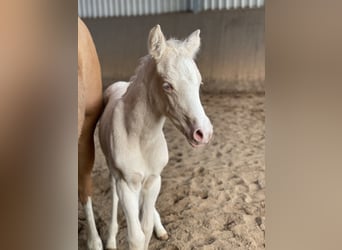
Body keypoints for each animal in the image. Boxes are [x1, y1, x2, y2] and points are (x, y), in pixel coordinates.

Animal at [97, 23, 214, 250]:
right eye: (167, 85)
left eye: (199, 83)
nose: (203, 133)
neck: (140, 138)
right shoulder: (126, 183)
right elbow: (136, 236)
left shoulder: (153, 179)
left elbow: (146, 228)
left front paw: (157, 228)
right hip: (112, 170)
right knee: (114, 196)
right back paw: (111, 240)